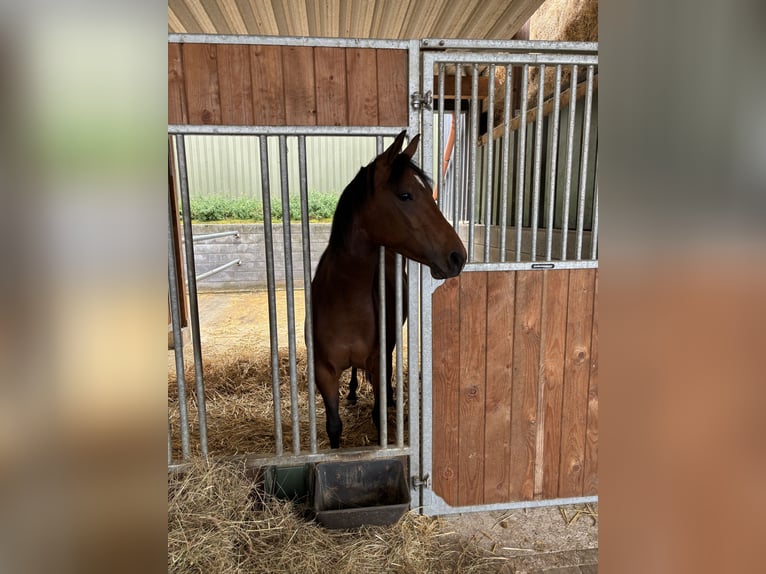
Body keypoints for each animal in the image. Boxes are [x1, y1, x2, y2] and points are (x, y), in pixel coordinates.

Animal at [309, 130, 467, 449]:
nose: (458, 256)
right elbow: (334, 427)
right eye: (405, 195)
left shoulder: (379, 363)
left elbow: (379, 416)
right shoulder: (324, 373)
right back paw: (353, 393)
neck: (344, 302)